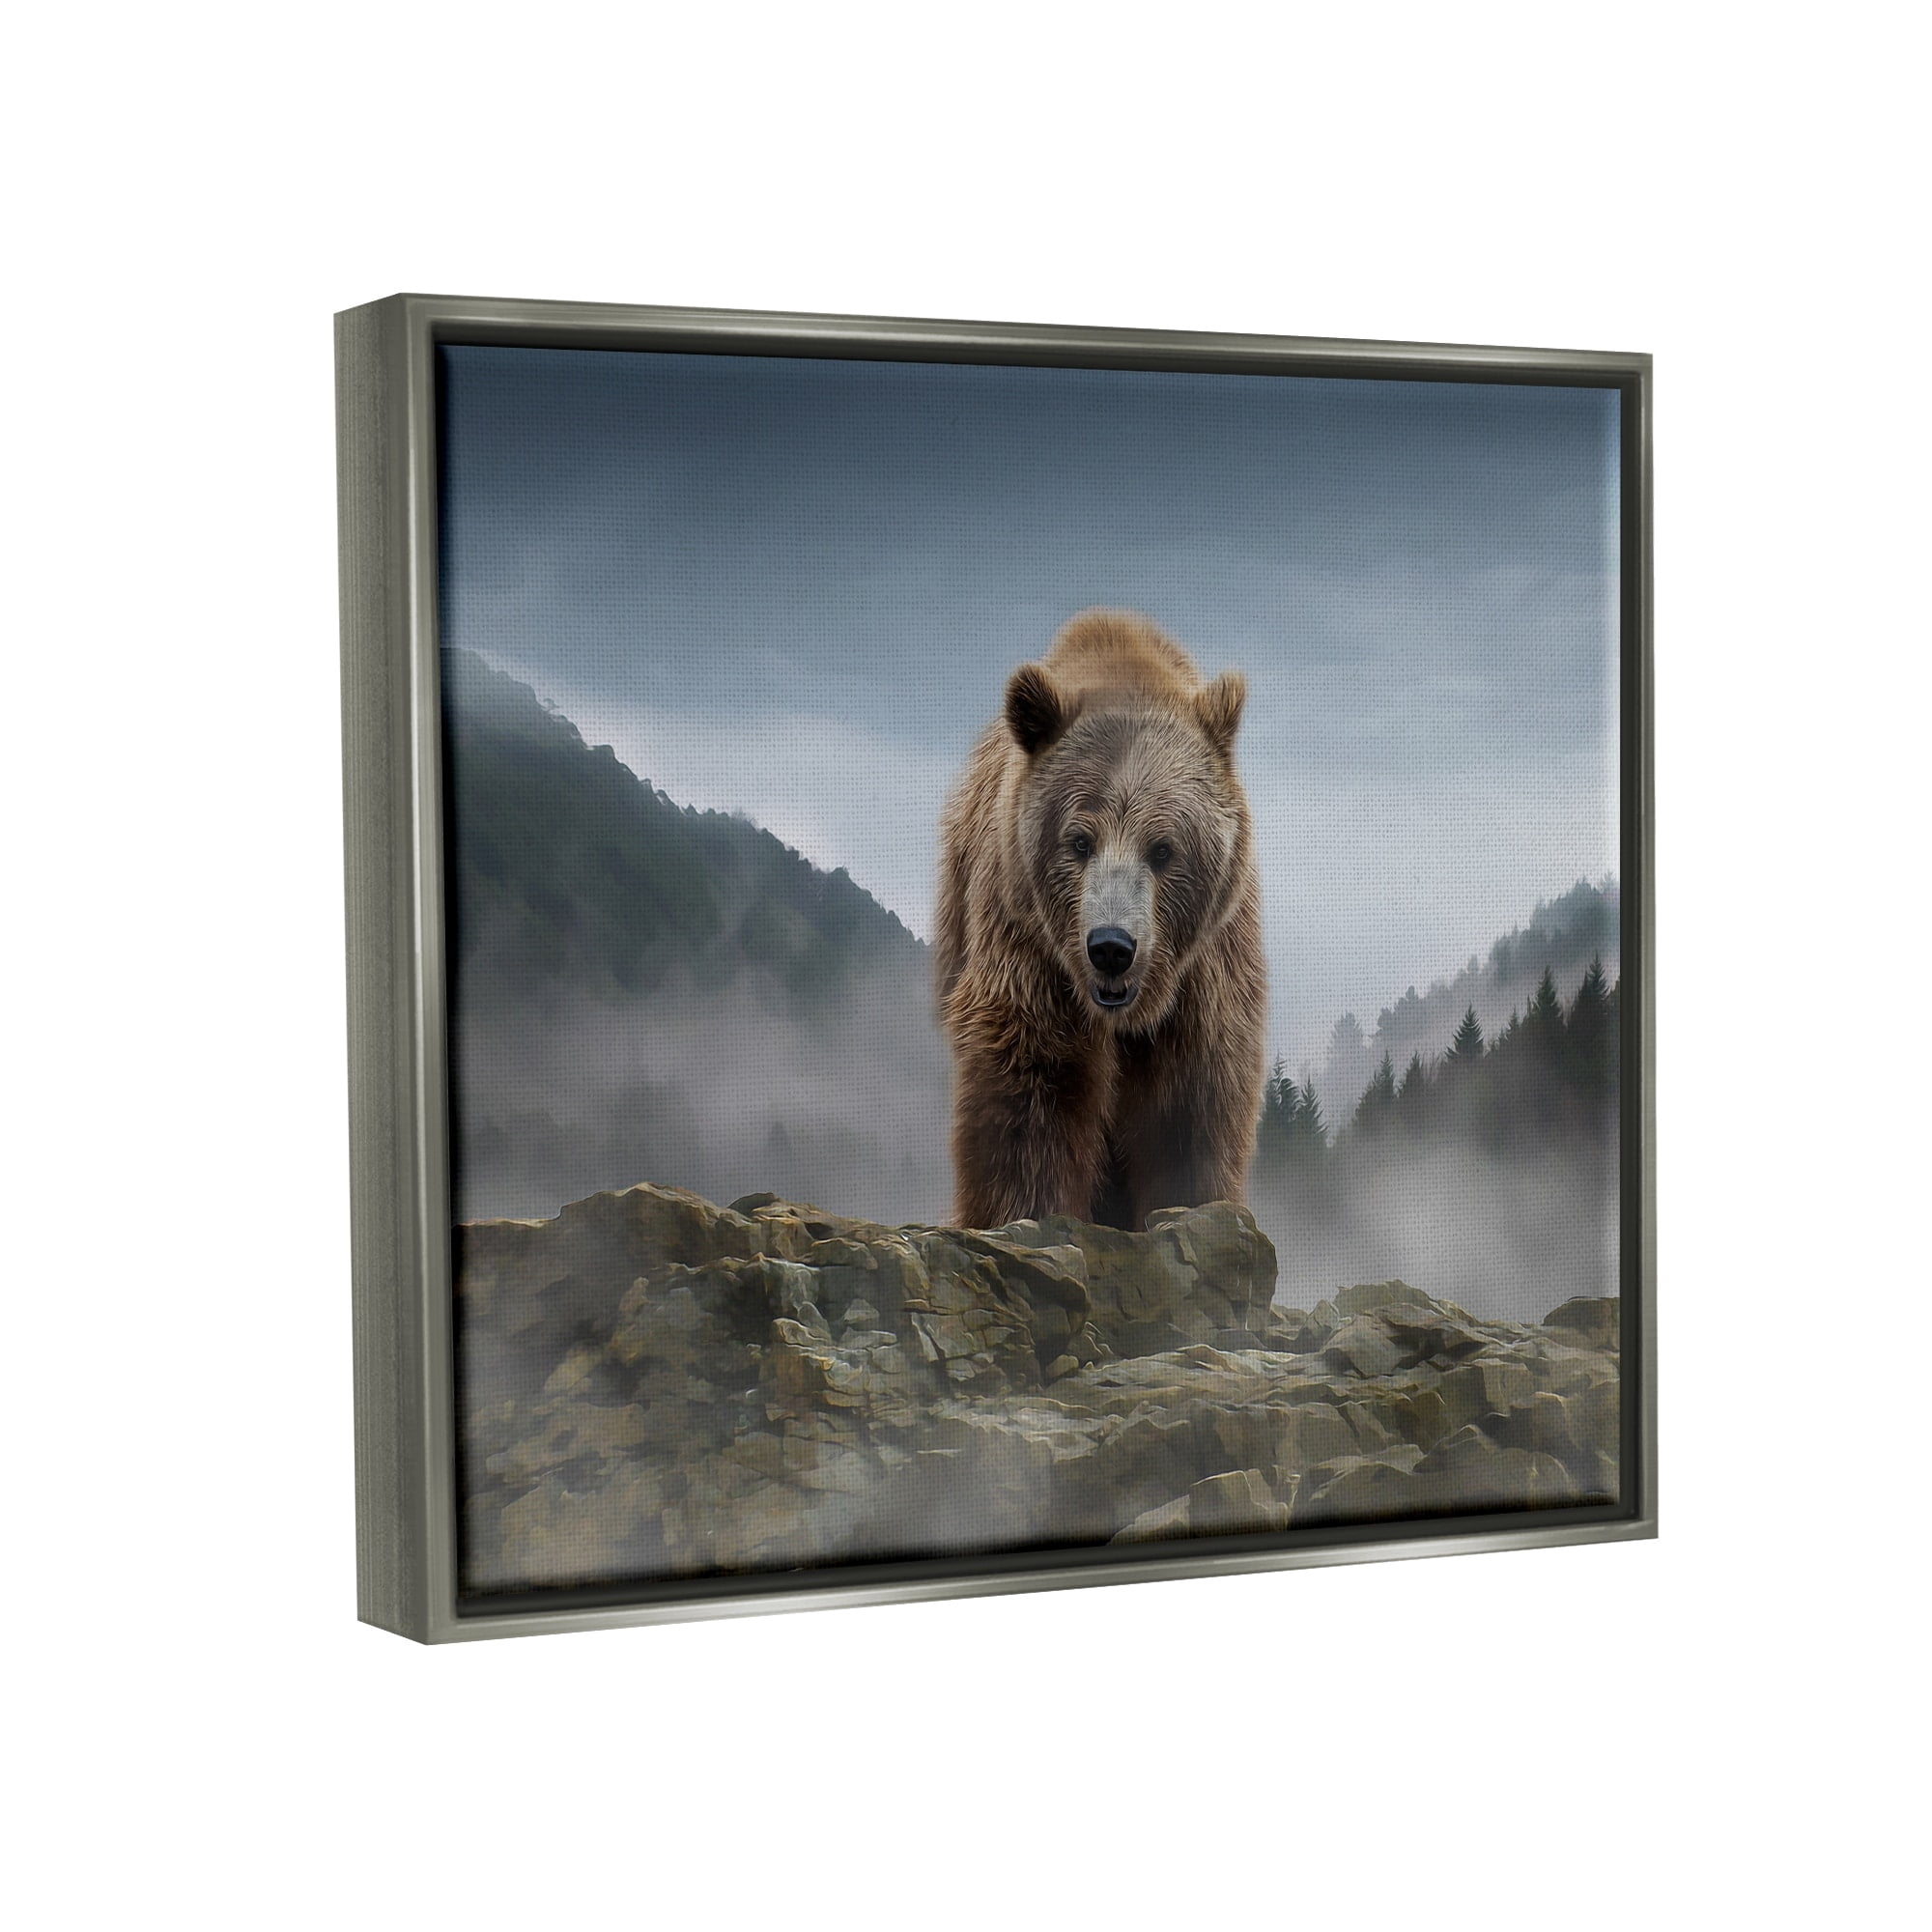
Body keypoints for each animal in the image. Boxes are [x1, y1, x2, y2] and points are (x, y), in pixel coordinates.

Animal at [934, 609, 1267, 1231]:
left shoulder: (1205, 969)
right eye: (1079, 841)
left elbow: (1191, 1103)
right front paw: (1026, 1211)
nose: (1112, 947)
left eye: (1163, 849)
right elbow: (1035, 1080)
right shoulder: (1027, 940)